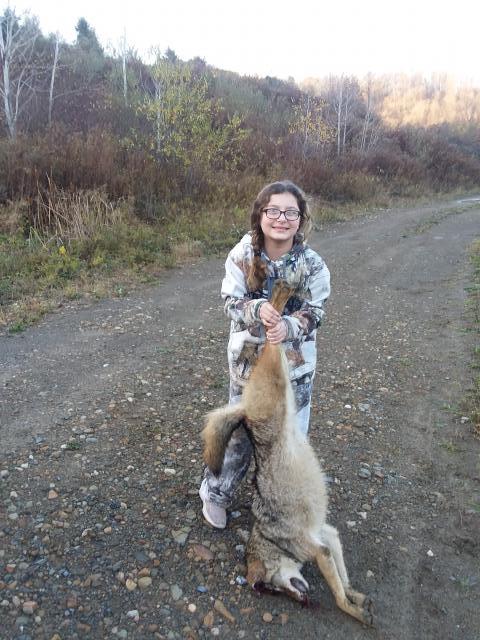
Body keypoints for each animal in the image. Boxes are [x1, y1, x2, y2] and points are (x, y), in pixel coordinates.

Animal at [202, 281, 374, 625]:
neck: (271, 541)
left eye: (269, 588)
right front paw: (357, 600)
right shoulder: (327, 537)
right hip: (279, 375)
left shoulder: (320, 549)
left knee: (272, 323)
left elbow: (339, 595)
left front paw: (352, 608)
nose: (305, 602)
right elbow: (345, 583)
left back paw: (280, 291)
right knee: (273, 326)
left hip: (275, 375)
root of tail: (245, 414)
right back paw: (284, 288)